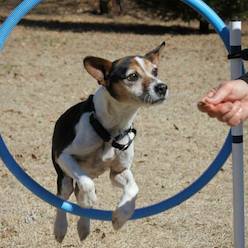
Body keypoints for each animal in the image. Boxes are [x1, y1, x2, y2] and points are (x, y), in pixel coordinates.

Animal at [52, 41, 169, 241]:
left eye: (155, 71)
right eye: (132, 76)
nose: (162, 87)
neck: (111, 129)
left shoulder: (118, 171)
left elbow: (133, 188)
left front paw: (120, 217)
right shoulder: (64, 156)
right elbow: (86, 183)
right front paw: (90, 199)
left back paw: (84, 227)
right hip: (64, 176)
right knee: (64, 197)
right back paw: (61, 228)